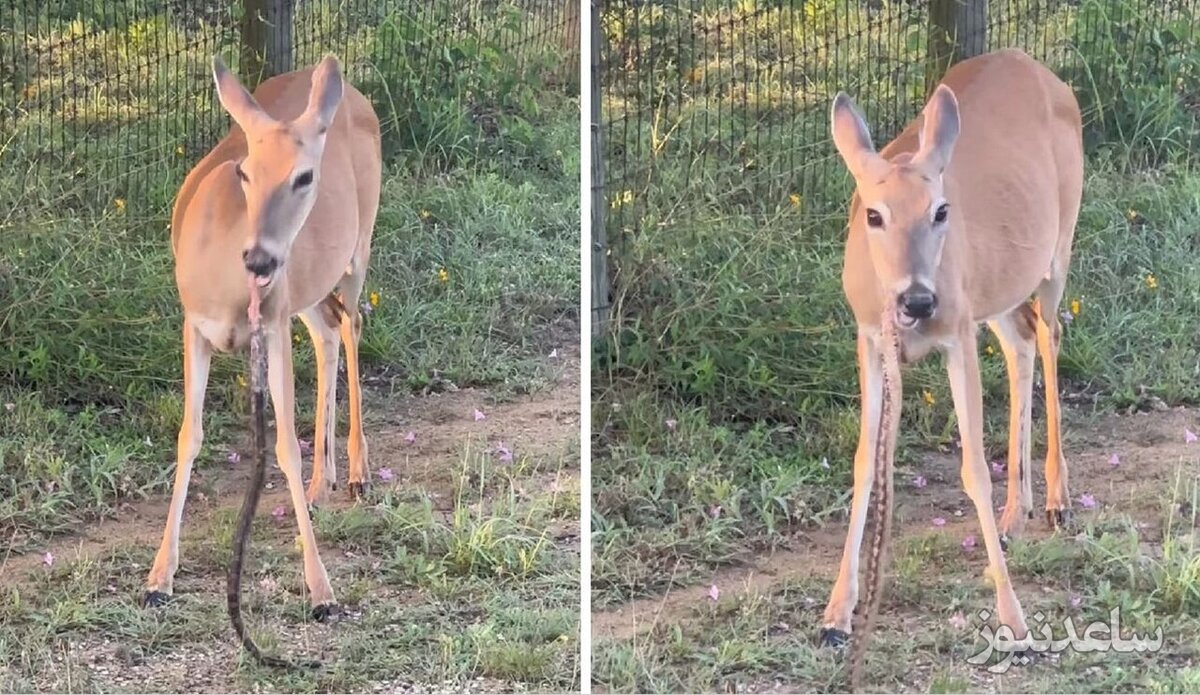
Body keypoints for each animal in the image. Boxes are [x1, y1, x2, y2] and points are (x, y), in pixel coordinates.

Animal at [142, 55, 381, 624]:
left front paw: (321, 591)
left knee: (353, 323)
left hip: (357, 245)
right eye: (245, 171)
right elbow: (189, 435)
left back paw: (357, 472)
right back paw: (321, 483)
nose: (259, 258)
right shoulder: (194, 324)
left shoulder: (270, 326)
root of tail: (351, 93)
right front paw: (159, 577)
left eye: (305, 175)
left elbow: (284, 445)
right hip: (305, 287)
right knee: (329, 329)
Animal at [820, 47, 1084, 672]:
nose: (918, 300)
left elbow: (973, 470)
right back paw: (1016, 515)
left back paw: (1057, 501)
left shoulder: (957, 333)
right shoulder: (871, 338)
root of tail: (1039, 68)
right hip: (997, 287)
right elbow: (865, 463)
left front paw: (1015, 622)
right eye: (873, 214)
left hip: (1057, 245)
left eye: (941, 210)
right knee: (1021, 339)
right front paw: (836, 615)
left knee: (1051, 332)